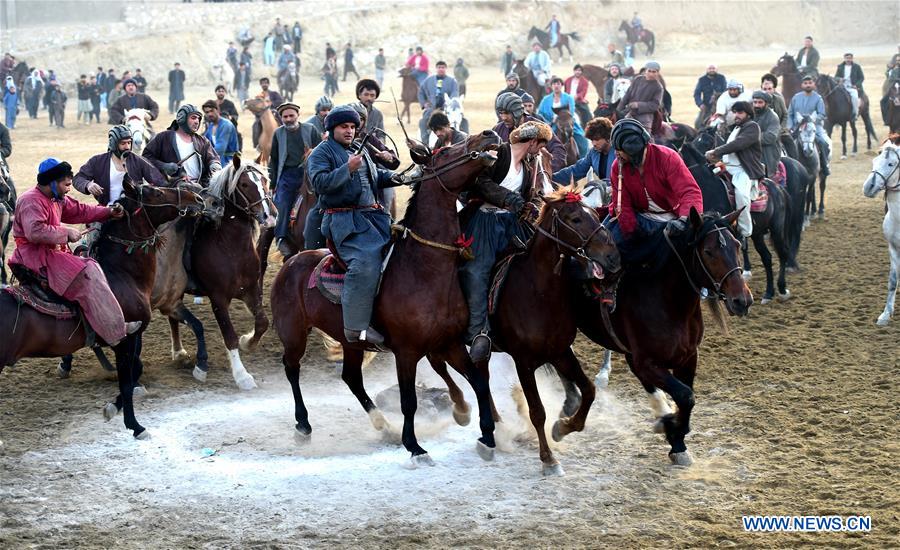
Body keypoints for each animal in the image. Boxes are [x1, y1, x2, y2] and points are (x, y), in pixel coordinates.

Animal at [0, 181, 204, 444]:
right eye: (157, 192)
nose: (197, 198)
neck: (120, 275)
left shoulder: (128, 340)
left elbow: (135, 372)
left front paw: (112, 408)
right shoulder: (126, 339)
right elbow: (127, 381)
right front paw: (135, 425)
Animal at [270, 132, 502, 468]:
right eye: (444, 151)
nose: (488, 135)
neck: (424, 268)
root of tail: (291, 263)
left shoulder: (450, 343)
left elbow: (478, 381)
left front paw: (486, 435)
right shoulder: (406, 352)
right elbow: (409, 401)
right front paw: (415, 446)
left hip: (351, 340)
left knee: (351, 377)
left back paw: (383, 425)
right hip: (293, 333)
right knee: (291, 368)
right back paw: (303, 424)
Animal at [576, 209, 752, 468]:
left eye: (737, 245)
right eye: (708, 251)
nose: (742, 300)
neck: (668, 302)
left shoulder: (687, 357)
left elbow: (686, 397)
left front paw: (675, 435)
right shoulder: (647, 361)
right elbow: (685, 396)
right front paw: (673, 430)